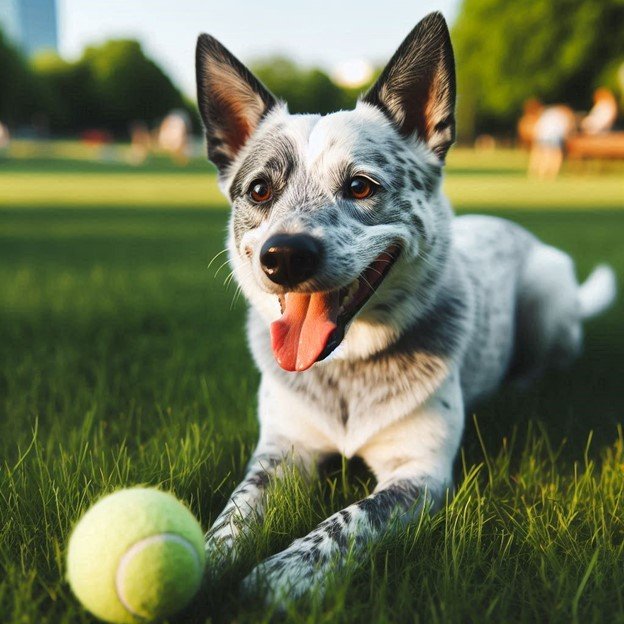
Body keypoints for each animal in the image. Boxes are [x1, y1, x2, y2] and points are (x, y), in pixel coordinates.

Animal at [196, 9, 620, 604]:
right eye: (259, 190)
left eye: (360, 186)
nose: (285, 256)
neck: (347, 371)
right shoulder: (280, 449)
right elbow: (236, 510)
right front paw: (204, 564)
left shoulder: (418, 473)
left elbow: (349, 520)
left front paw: (282, 575)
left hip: (547, 292)